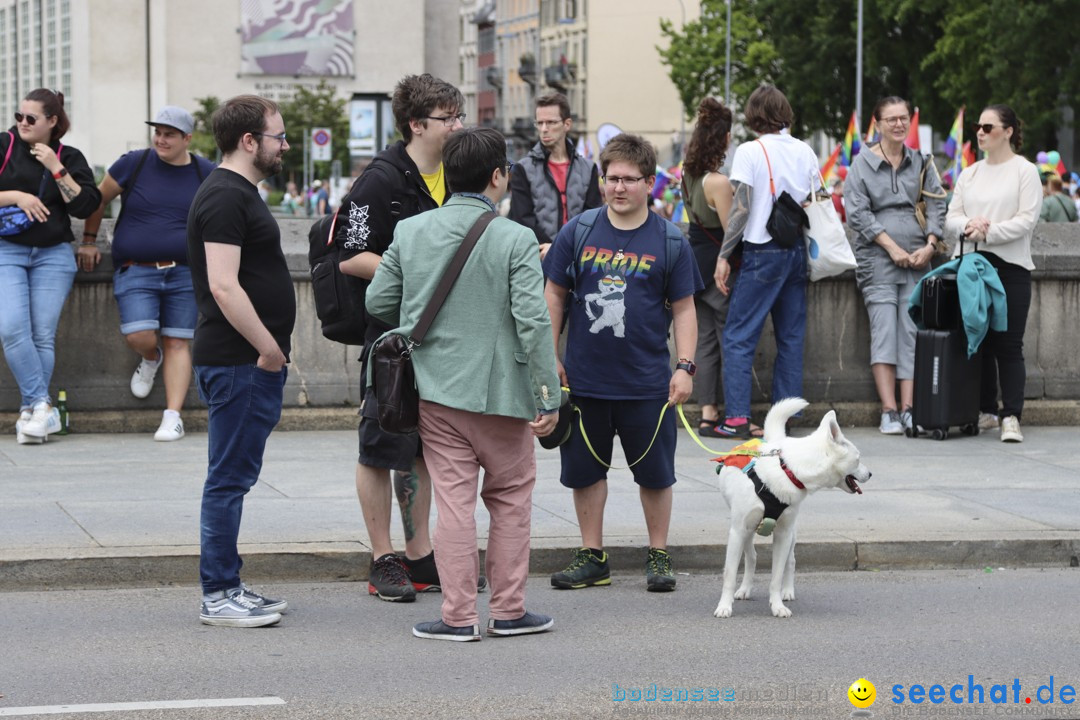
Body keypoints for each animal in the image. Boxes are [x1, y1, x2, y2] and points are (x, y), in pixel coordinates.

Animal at [712, 397, 872, 617]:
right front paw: (724, 606)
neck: (787, 469)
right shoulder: (738, 530)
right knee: (751, 557)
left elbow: (776, 576)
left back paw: (787, 591)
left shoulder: (783, 534)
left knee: (790, 561)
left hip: (791, 534)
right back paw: (744, 589)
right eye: (858, 459)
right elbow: (729, 574)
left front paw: (777, 605)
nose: (871, 474)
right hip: (746, 532)